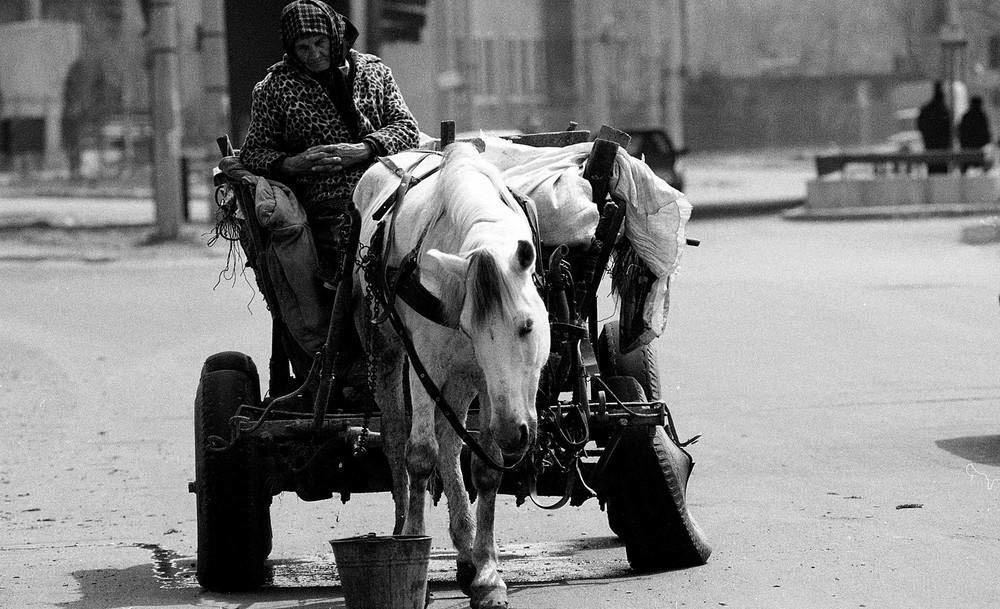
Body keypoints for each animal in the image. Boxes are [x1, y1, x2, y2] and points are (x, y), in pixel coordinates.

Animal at [352, 142, 552, 608]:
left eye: (527, 326)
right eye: (473, 330)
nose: (516, 433)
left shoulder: (483, 380)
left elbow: (485, 467)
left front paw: (487, 572)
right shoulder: (425, 359)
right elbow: (420, 455)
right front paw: (414, 554)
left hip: (460, 381)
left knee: (450, 441)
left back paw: (464, 552)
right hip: (388, 351)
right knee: (397, 436)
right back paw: (402, 527)